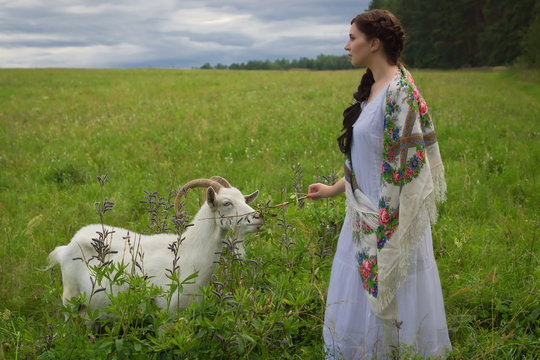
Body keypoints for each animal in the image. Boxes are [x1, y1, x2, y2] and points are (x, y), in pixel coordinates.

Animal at [47, 176, 262, 312]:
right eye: (226, 203)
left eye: (244, 199)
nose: (258, 217)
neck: (189, 253)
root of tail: (66, 248)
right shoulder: (165, 314)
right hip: (70, 299)